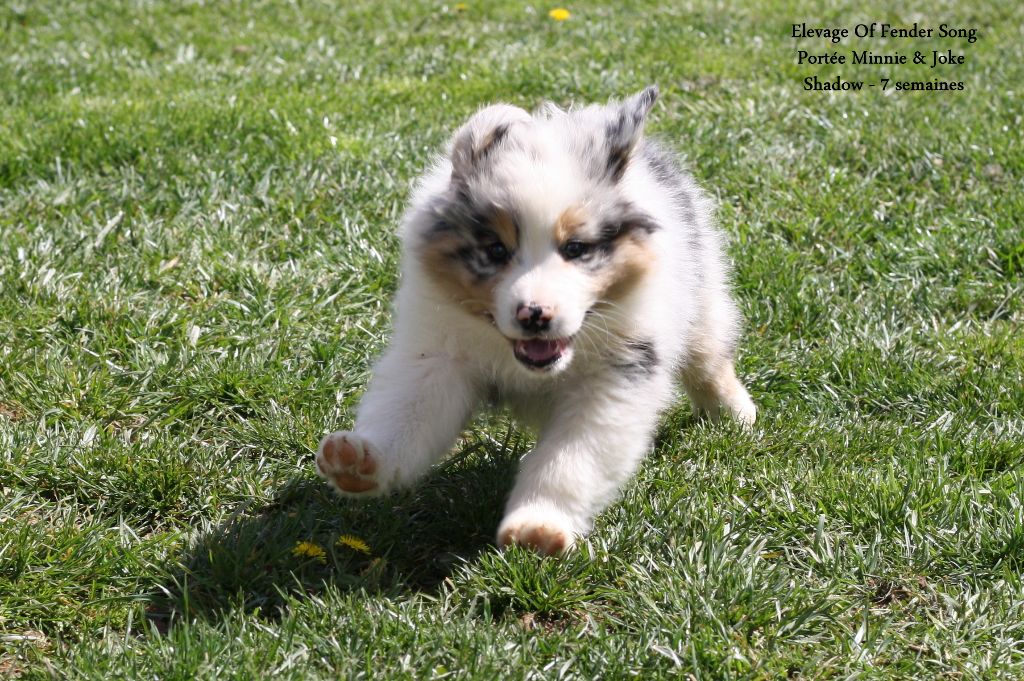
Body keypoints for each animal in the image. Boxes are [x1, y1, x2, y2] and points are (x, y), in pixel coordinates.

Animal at [315, 86, 756, 555]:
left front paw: (538, 525)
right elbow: (406, 415)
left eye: (576, 248)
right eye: (495, 250)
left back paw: (737, 417)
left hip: (702, 292)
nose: (534, 315)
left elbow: (571, 458)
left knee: (710, 360)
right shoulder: (436, 355)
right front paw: (359, 462)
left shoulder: (617, 375)